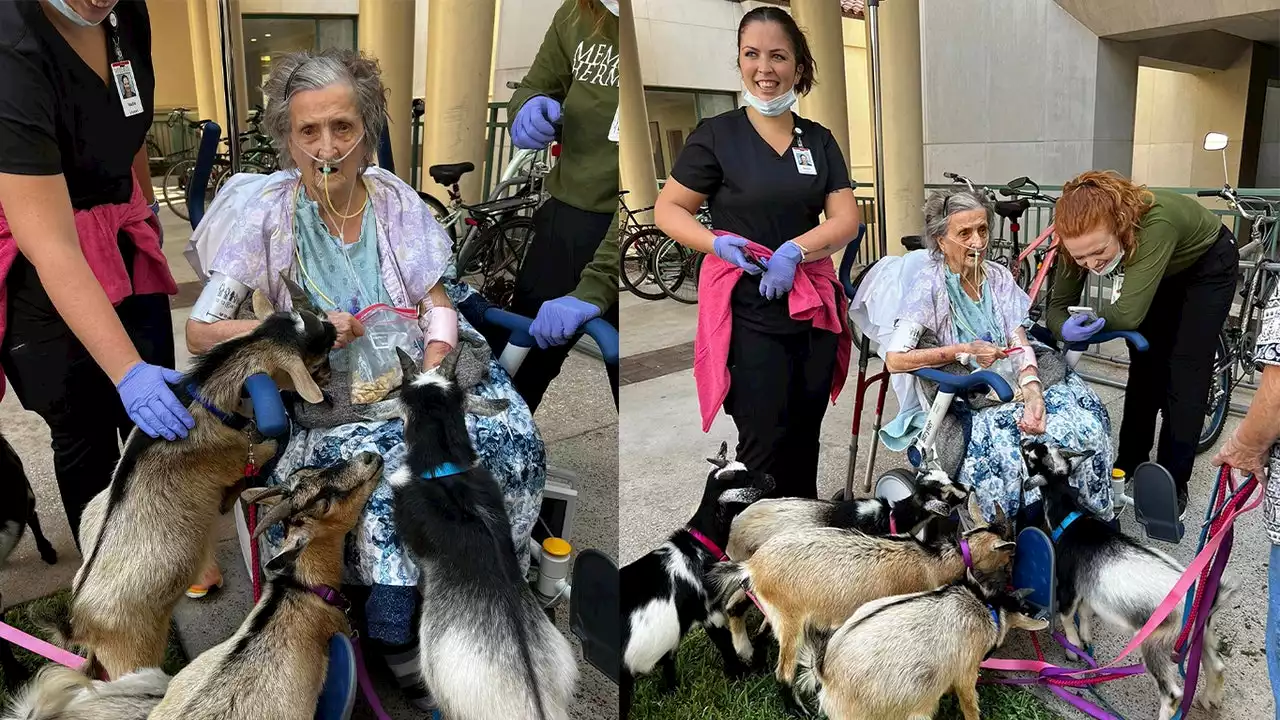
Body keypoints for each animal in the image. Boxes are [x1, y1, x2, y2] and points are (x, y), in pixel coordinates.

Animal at [68, 275, 335, 676]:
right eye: (316, 357)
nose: (331, 379)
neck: (203, 398)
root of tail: (80, 620)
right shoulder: (236, 453)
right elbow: (269, 445)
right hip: (132, 652)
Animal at [616, 443, 768, 717]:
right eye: (746, 478)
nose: (771, 478)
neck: (699, 545)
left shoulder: (672, 629)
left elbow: (669, 659)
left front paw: (670, 690)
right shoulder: (710, 613)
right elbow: (725, 646)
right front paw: (742, 675)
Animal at [706, 491, 1013, 707]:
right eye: (1009, 556)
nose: (1007, 584)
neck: (932, 561)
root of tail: (752, 567)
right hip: (790, 619)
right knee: (782, 670)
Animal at [1018, 438, 1228, 717]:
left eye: (1031, 456)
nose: (1023, 440)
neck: (1070, 521)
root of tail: (1207, 597)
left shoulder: (1069, 584)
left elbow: (1066, 615)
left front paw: (1073, 648)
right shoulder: (1088, 587)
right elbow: (1085, 612)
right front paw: (1086, 639)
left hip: (1156, 642)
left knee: (1172, 693)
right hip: (1200, 634)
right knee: (1216, 665)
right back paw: (1209, 699)